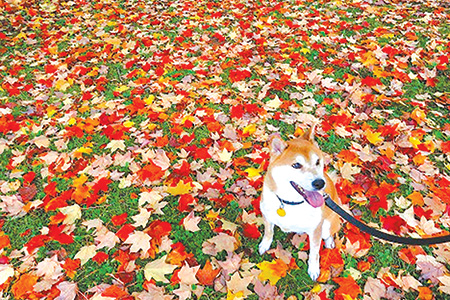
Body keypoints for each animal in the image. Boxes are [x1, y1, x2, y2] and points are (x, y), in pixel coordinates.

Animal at [260, 126, 342, 282]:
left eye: (317, 161)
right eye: (296, 165)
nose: (320, 183)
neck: (291, 203)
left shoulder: (316, 231)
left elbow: (314, 253)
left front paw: (314, 269)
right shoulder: (268, 216)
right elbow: (268, 232)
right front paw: (264, 244)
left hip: (328, 224)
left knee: (329, 233)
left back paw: (329, 242)